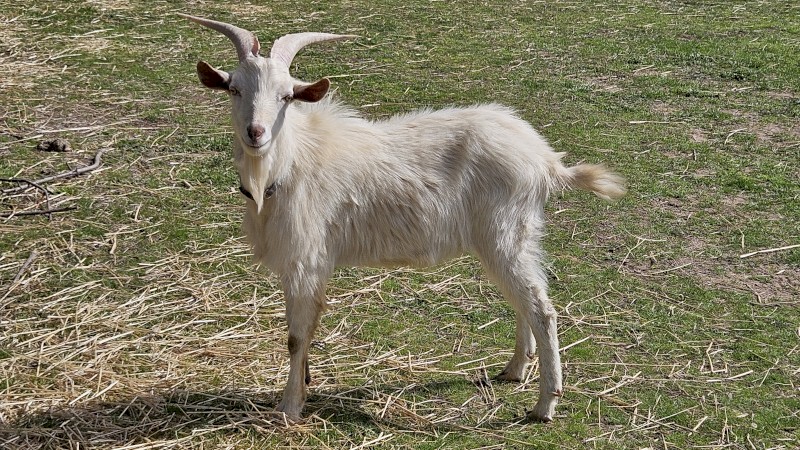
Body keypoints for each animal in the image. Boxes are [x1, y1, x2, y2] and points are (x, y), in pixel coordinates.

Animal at [180, 14, 625, 423]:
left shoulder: (304, 259)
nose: (256, 132)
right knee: (524, 299)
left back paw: (544, 404)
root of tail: (547, 161)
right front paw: (304, 386)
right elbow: (307, 331)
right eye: (234, 89)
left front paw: (289, 407)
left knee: (541, 308)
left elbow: (295, 335)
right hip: (509, 238)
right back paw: (515, 370)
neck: (291, 161)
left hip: (505, 232)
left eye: (287, 96)